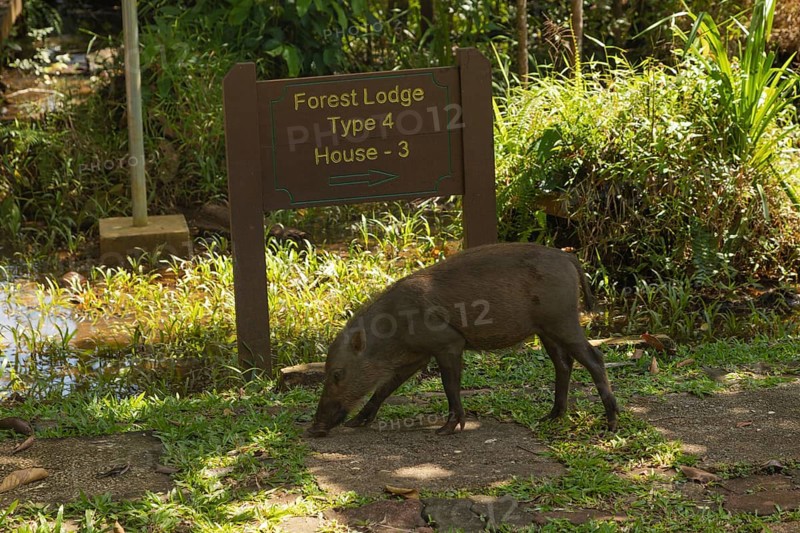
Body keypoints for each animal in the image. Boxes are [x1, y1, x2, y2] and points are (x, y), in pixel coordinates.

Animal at [306, 243, 619, 437]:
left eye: (337, 374)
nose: (314, 428)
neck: (394, 329)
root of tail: (568, 258)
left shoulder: (448, 343)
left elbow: (450, 386)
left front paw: (446, 429)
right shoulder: (416, 355)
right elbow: (386, 387)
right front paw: (357, 422)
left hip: (563, 321)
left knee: (594, 358)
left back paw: (611, 421)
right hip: (546, 330)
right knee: (563, 364)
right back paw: (551, 416)